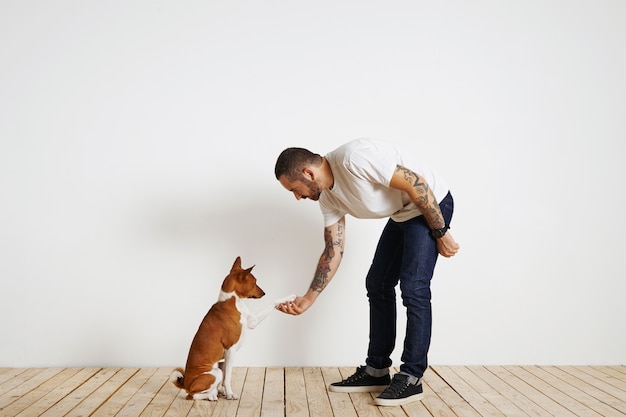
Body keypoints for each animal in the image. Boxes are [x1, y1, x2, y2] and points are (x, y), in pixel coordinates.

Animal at [168, 255, 294, 402]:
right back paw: (211, 395)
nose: (264, 293)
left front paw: (290, 297)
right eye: (254, 282)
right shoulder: (230, 350)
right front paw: (230, 394)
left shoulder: (253, 321)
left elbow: (273, 302)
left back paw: (217, 392)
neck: (234, 302)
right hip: (215, 372)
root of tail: (186, 383)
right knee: (192, 395)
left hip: (220, 365)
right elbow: (228, 378)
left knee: (211, 387)